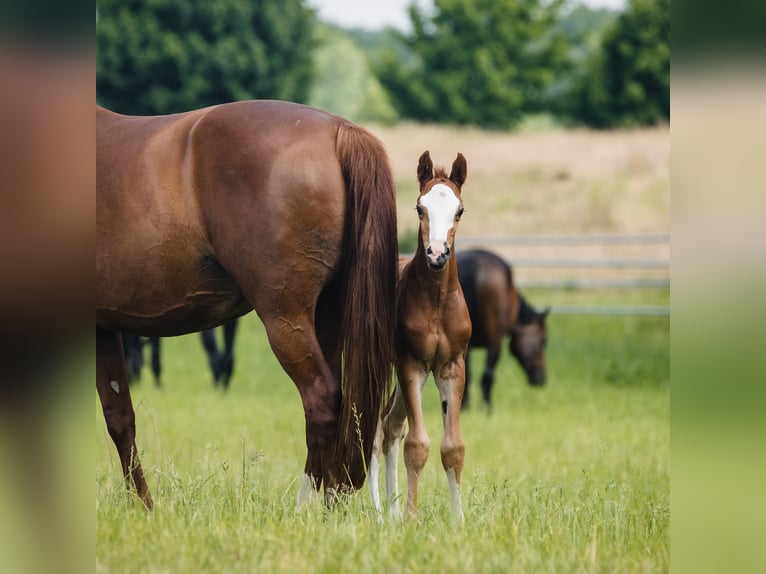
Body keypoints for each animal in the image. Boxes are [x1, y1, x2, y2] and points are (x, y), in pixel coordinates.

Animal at [98, 101, 400, 510]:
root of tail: (338, 131)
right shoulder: (104, 326)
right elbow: (120, 416)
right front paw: (145, 506)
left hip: (286, 321)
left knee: (321, 402)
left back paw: (305, 509)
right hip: (327, 320)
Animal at [368, 151, 472, 524]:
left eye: (459, 210)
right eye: (419, 208)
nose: (437, 254)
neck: (438, 302)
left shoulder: (451, 368)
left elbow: (452, 447)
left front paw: (458, 522)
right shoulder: (411, 365)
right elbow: (417, 444)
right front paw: (412, 520)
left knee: (389, 427)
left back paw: (392, 512)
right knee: (376, 431)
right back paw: (382, 514)